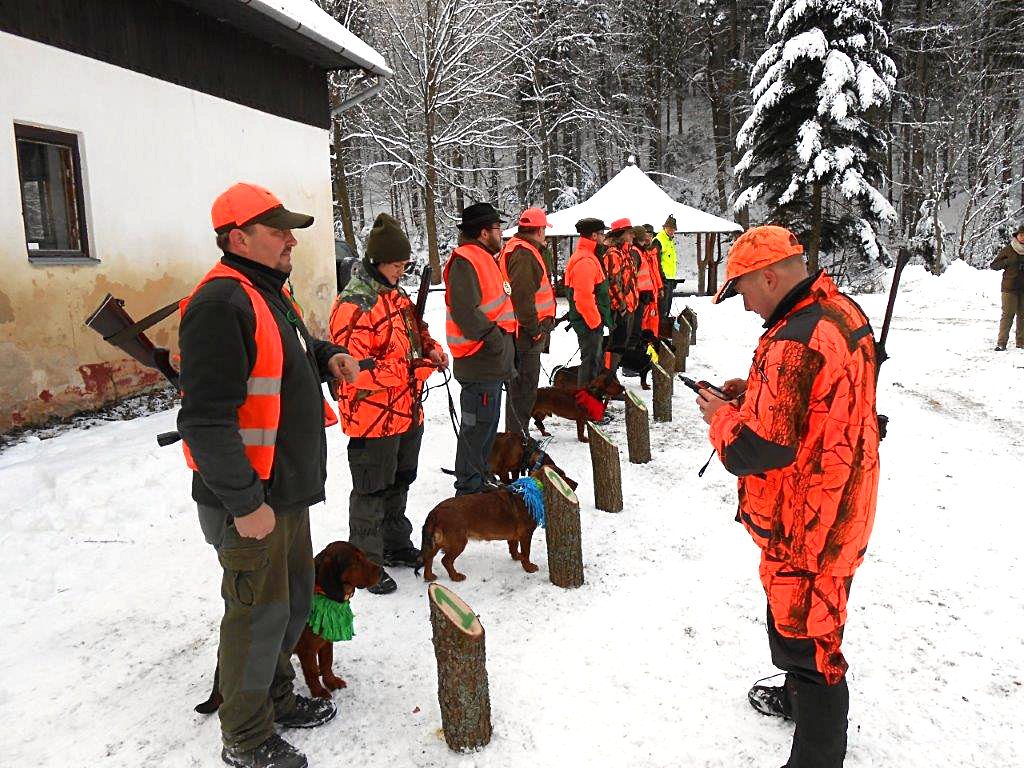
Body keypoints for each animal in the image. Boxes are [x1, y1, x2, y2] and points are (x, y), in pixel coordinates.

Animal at [193, 540, 382, 716]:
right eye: (355, 561)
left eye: (363, 555)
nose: (381, 571)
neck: (321, 592)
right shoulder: (307, 649)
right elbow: (312, 672)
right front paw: (319, 692)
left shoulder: (326, 641)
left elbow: (327, 663)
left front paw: (331, 681)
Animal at [415, 475, 544, 581]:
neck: (528, 494)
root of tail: (435, 511)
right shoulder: (526, 535)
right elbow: (526, 553)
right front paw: (528, 567)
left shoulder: (515, 536)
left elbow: (513, 547)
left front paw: (517, 557)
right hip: (458, 542)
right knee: (445, 561)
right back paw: (455, 576)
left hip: (437, 541)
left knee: (428, 557)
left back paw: (429, 576)